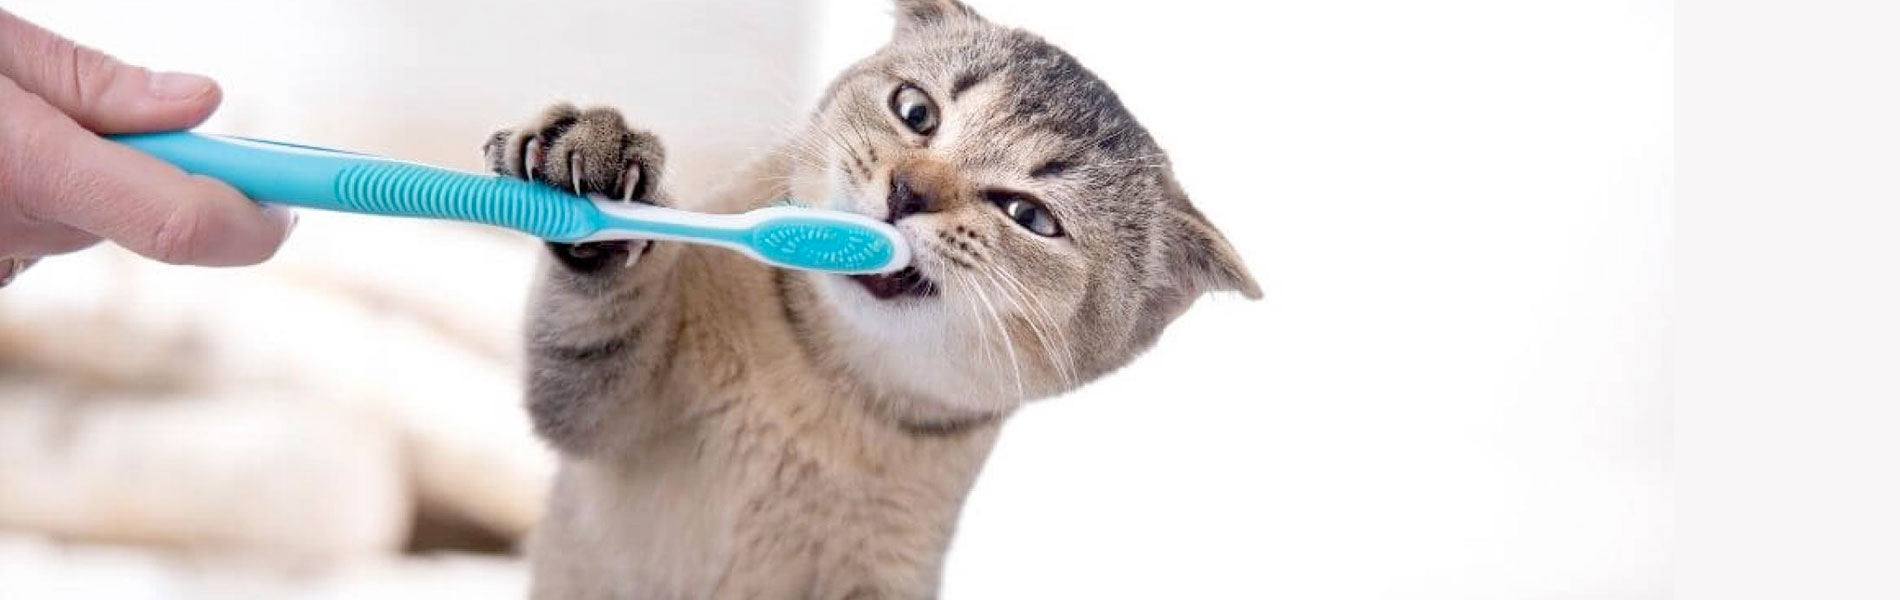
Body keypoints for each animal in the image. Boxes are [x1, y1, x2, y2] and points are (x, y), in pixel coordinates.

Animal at [481, 0, 1259, 597]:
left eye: (1030, 217)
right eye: (915, 110)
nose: (908, 190)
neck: (825, 388)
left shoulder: (886, 573)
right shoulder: (594, 417)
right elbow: (592, 329)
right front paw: (600, 172)